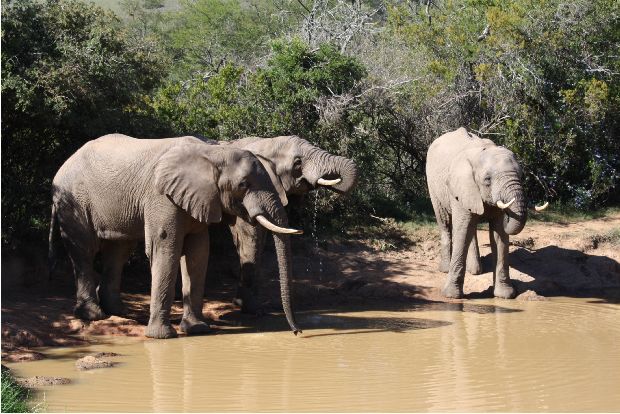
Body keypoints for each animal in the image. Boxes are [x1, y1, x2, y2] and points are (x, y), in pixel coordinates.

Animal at [49, 134, 302, 338]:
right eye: (243, 184)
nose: (297, 332)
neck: (212, 153)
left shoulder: (198, 198)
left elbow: (197, 253)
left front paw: (197, 330)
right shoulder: (162, 197)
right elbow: (166, 247)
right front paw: (162, 337)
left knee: (118, 251)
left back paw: (117, 311)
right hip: (73, 199)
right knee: (84, 249)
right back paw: (93, 315)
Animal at [426, 128, 548, 300]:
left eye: (522, 176)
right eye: (487, 179)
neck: (481, 152)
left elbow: (499, 235)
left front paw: (505, 295)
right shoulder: (461, 188)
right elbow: (462, 231)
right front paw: (452, 296)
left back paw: (475, 271)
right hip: (433, 184)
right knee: (445, 222)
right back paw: (445, 268)